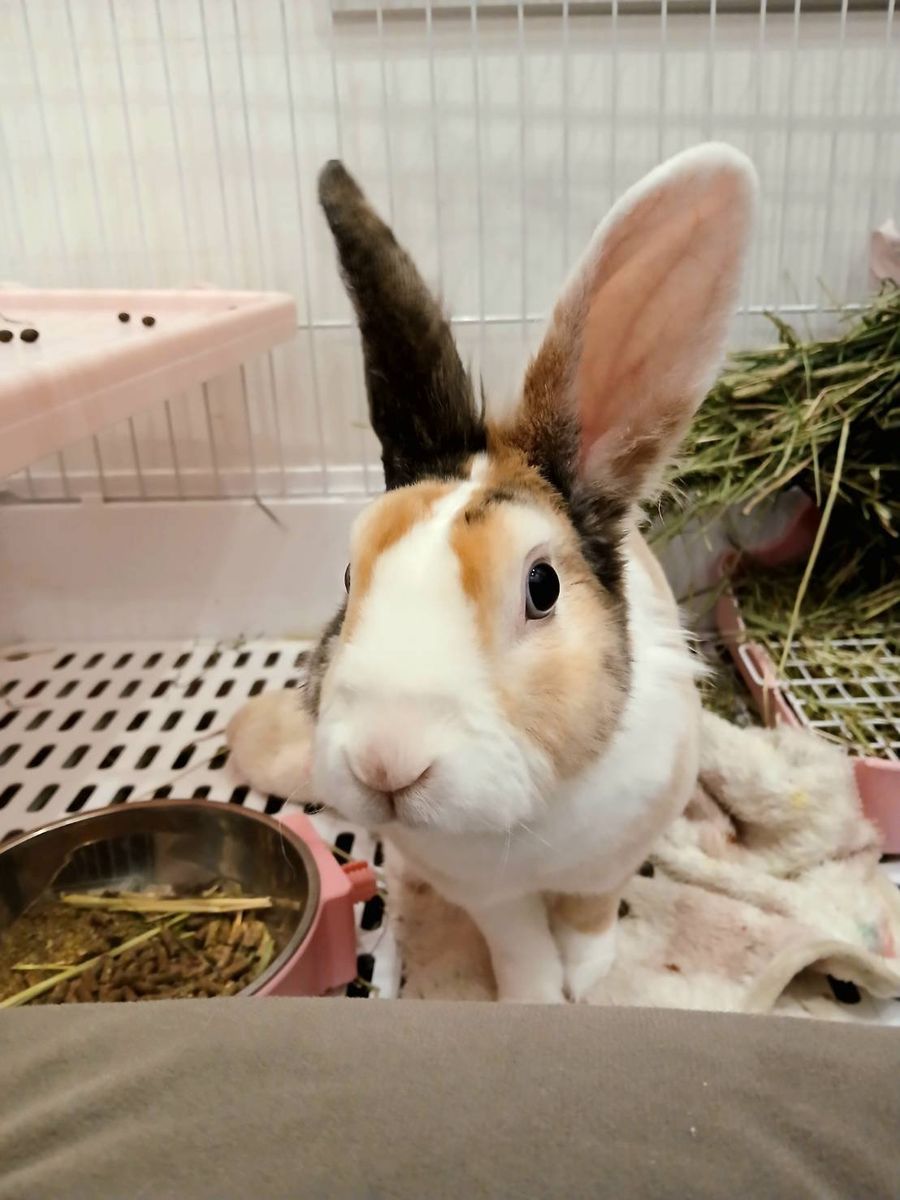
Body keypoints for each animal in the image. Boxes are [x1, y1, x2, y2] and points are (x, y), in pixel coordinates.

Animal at [227, 144, 757, 1003]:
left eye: (542, 587)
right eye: (347, 574)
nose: (386, 761)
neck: (524, 825)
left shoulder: (608, 864)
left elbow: (589, 917)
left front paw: (589, 978)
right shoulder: (485, 894)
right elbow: (519, 944)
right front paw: (535, 997)